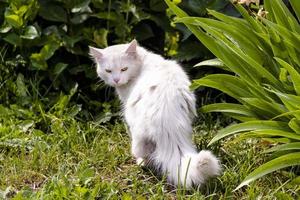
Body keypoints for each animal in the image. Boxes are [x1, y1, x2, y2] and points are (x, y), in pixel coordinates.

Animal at [89, 39, 220, 188]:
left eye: (124, 69)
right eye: (108, 71)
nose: (116, 80)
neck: (142, 62)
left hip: (137, 133)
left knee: (144, 153)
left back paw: (142, 162)